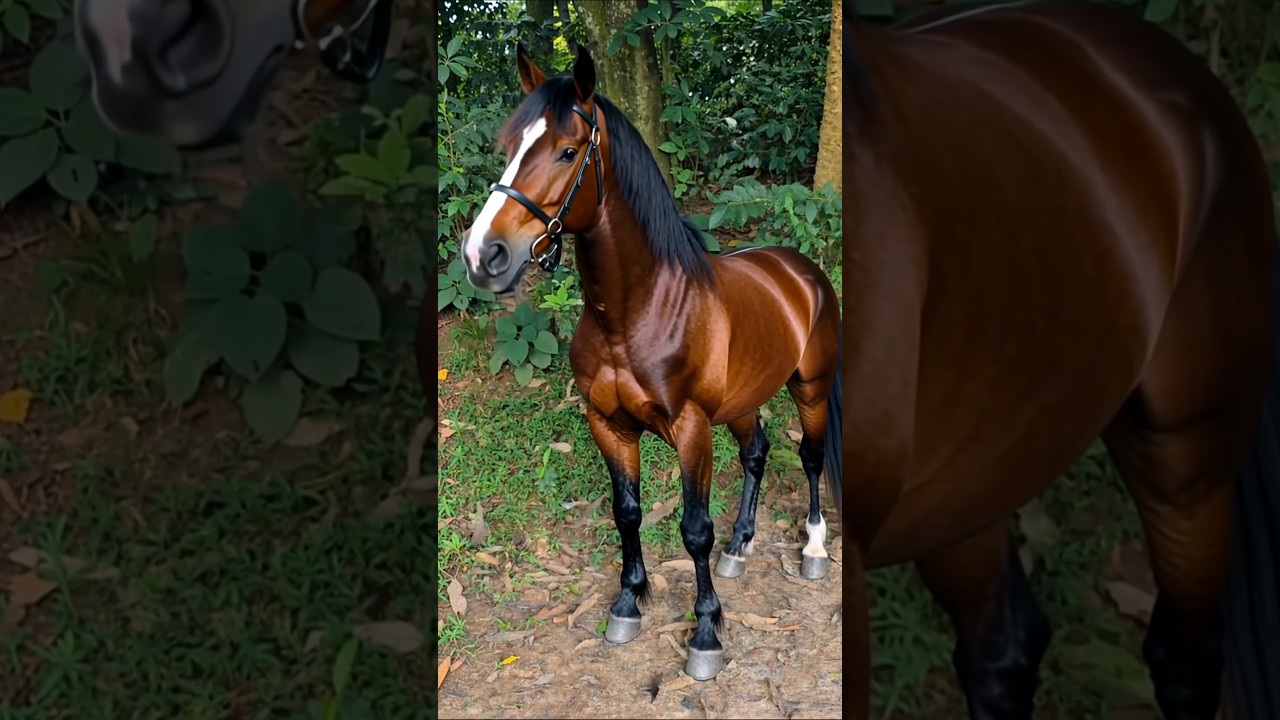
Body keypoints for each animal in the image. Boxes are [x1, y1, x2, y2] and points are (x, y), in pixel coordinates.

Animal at [460, 43, 844, 681]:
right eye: (509, 147)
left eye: (567, 151)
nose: (482, 255)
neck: (636, 312)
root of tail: (800, 270)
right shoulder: (608, 425)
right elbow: (627, 512)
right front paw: (627, 603)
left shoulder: (690, 428)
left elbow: (693, 530)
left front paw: (706, 633)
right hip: (741, 402)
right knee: (757, 454)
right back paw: (741, 546)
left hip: (809, 386)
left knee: (811, 459)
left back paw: (812, 547)